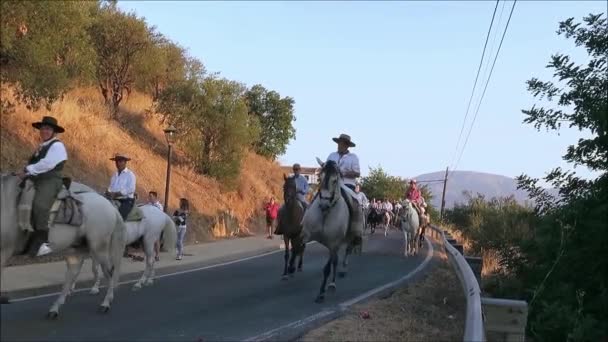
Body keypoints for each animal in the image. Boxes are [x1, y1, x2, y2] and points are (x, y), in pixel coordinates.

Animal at [0, 175, 126, 320]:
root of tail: (109, 205)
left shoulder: (3, 252)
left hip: (99, 247)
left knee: (109, 272)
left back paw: (105, 303)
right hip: (75, 248)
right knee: (72, 273)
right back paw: (55, 308)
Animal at [302, 158, 364, 302]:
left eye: (335, 180)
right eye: (319, 178)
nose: (324, 204)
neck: (326, 213)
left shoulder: (333, 243)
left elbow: (328, 267)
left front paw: (323, 291)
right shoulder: (306, 235)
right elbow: (298, 247)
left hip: (351, 236)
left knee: (346, 252)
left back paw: (340, 274)